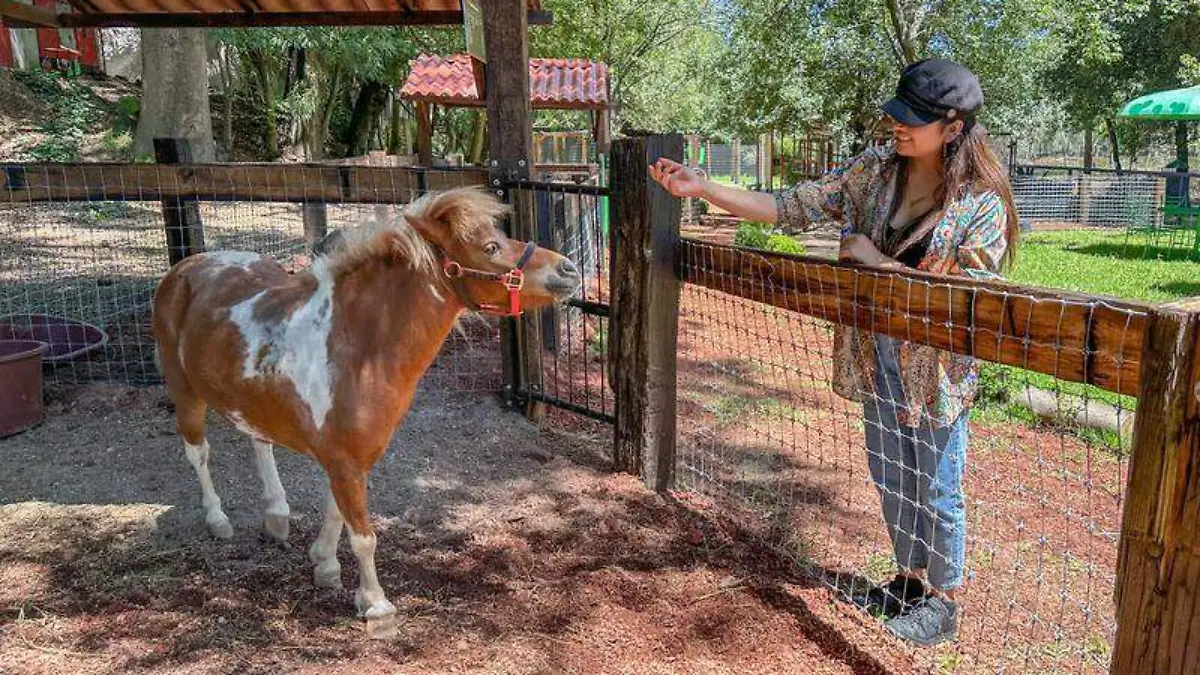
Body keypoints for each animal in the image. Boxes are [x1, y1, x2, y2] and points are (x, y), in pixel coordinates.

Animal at [150, 186, 580, 634]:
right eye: (490, 246)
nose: (567, 269)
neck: (358, 346)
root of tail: (187, 265)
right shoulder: (344, 460)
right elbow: (363, 535)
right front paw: (375, 605)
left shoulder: (351, 458)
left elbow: (336, 512)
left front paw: (324, 564)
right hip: (185, 394)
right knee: (199, 454)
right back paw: (217, 519)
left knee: (258, 441)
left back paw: (276, 514)